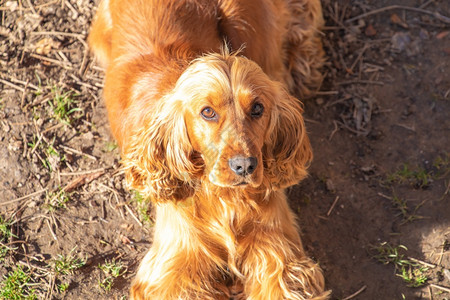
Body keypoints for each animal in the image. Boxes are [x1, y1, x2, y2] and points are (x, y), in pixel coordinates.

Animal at [89, 1, 326, 298]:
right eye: (208, 112)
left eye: (257, 108)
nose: (244, 166)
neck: (225, 199)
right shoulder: (173, 266)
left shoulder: (277, 249)